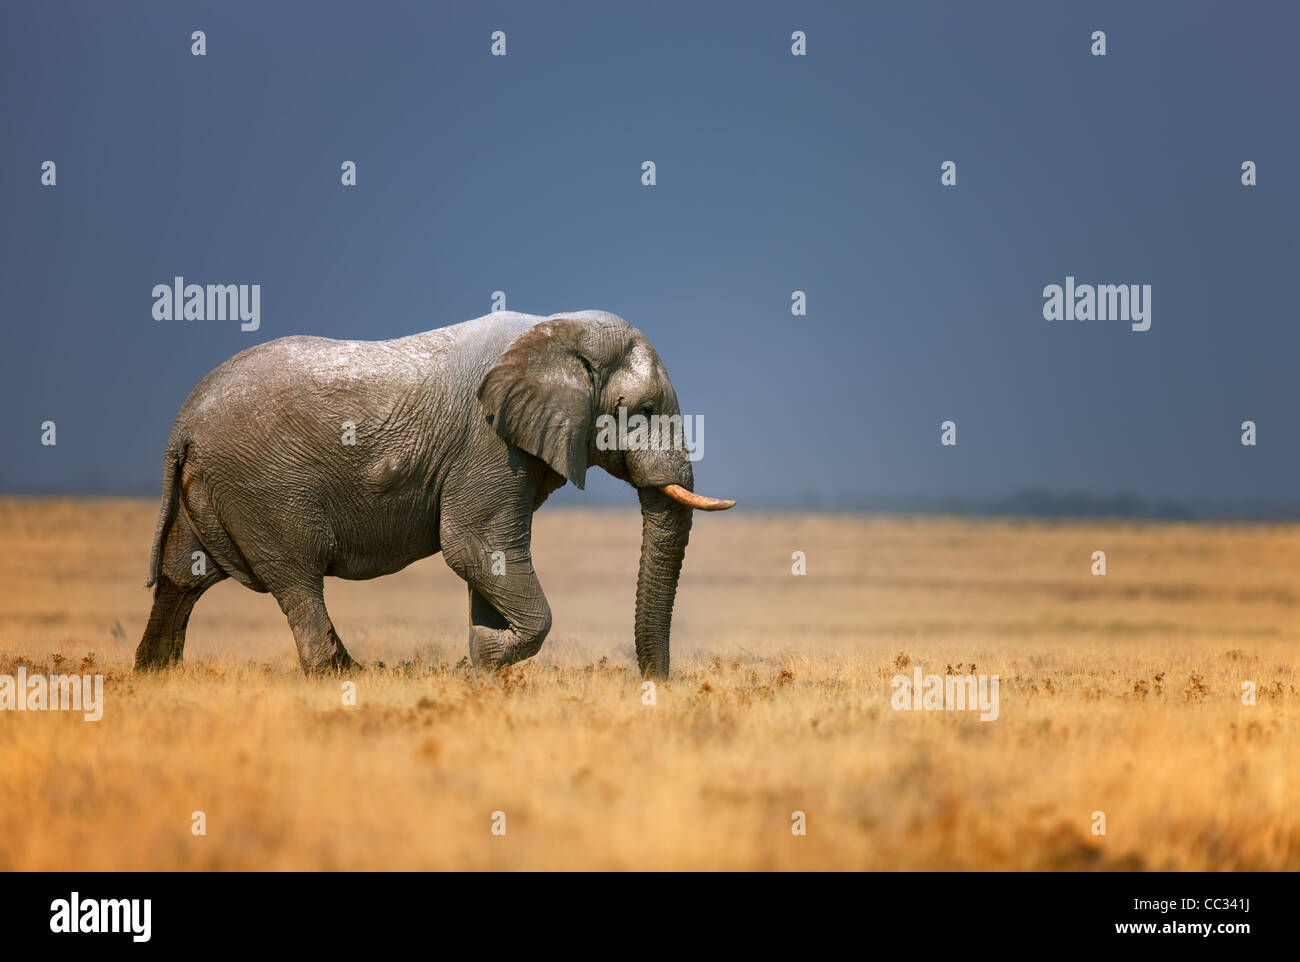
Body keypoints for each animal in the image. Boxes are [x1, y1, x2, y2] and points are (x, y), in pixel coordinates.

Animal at [135, 310, 734, 679]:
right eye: (645, 411)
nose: (658, 686)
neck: (558, 332)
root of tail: (183, 423)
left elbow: (487, 561)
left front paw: (480, 666)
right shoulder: (487, 442)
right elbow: (473, 548)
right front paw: (480, 660)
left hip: (216, 484)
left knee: (183, 575)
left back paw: (156, 675)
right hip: (264, 484)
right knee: (297, 574)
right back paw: (342, 676)